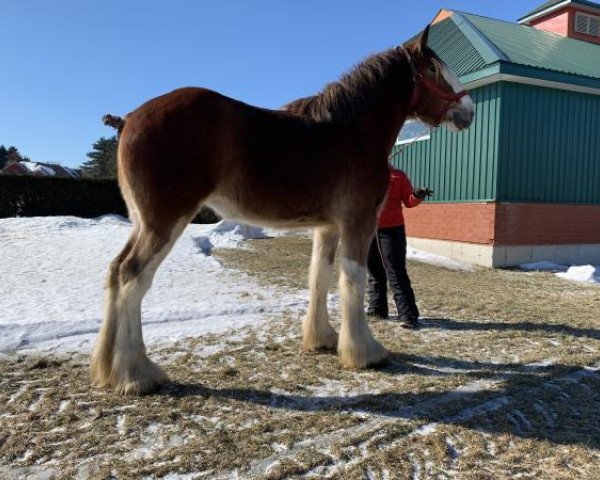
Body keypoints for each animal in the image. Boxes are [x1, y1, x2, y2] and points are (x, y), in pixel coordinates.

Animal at [91, 24, 474, 396]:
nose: (469, 111)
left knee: (115, 271)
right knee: (132, 276)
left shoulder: (327, 227)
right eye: (432, 69)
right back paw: (136, 374)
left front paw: (322, 339)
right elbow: (353, 279)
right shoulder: (358, 221)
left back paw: (110, 367)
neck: (351, 131)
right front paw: (365, 352)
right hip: (165, 222)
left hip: (143, 224)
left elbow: (320, 275)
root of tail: (129, 119)